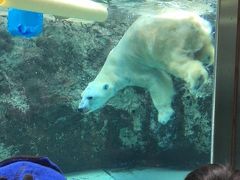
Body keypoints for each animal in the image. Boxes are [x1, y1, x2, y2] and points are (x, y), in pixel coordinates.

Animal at [78, 10, 214, 124]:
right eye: (82, 96)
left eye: (90, 97)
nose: (80, 108)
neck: (111, 68)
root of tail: (191, 19)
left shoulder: (131, 69)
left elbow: (158, 82)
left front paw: (164, 116)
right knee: (201, 48)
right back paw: (208, 56)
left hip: (164, 41)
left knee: (174, 61)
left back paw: (197, 80)